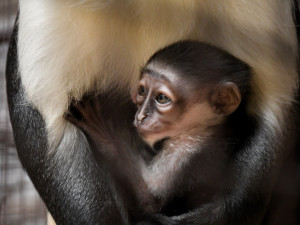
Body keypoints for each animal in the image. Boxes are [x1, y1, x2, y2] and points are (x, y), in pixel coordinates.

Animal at [65, 40, 251, 218]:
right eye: (142, 90)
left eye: (161, 98)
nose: (140, 116)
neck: (206, 128)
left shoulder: (186, 149)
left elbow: (149, 202)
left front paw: (104, 133)